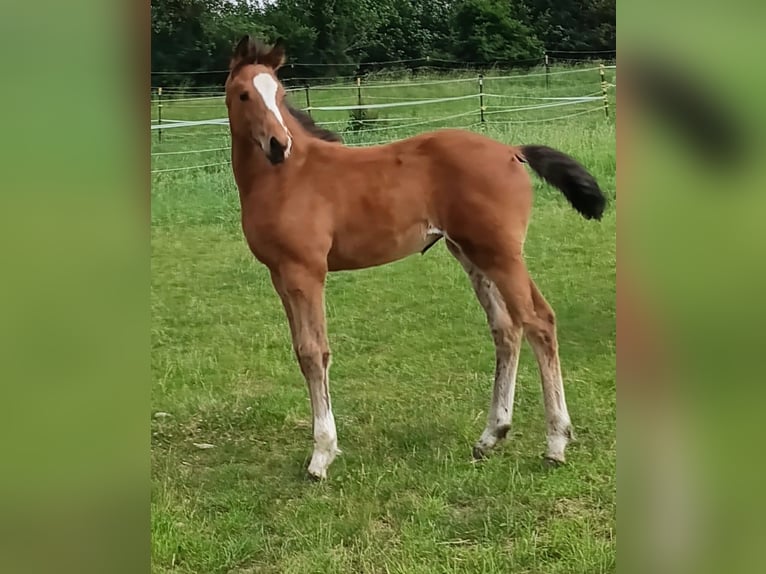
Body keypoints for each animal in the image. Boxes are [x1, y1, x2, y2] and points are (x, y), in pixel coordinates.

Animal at [224, 36, 607, 479]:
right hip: (473, 254)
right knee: (506, 329)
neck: (286, 177)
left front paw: (321, 455)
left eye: (281, 94)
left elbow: (314, 352)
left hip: (502, 254)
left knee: (538, 321)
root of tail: (512, 151)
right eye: (244, 93)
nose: (278, 145)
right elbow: (301, 352)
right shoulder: (280, 275)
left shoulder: (305, 272)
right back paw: (491, 436)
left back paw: (555, 443)